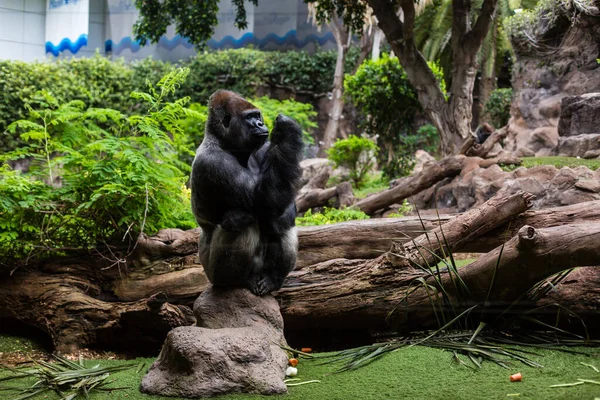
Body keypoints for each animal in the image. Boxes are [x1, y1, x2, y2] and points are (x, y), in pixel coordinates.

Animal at [191, 91, 304, 296]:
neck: (224, 142)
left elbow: (281, 204)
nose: (260, 124)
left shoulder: (263, 147)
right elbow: (262, 202)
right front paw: (287, 130)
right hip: (212, 275)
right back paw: (237, 281)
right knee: (243, 221)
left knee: (282, 221)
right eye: (250, 118)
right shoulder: (214, 162)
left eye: (257, 115)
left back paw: (274, 279)